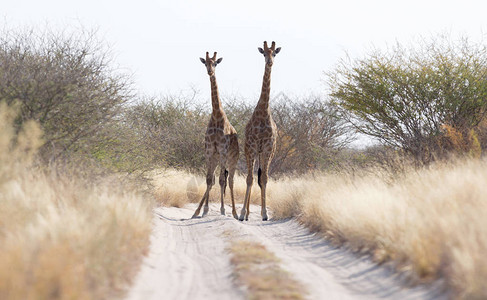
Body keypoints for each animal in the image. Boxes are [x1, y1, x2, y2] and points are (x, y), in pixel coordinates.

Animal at [193, 51, 241, 219]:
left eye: (215, 63)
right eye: (205, 63)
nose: (210, 71)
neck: (216, 115)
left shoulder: (223, 151)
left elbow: (221, 181)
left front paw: (222, 210)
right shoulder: (209, 151)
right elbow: (209, 180)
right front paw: (203, 210)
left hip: (232, 158)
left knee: (229, 180)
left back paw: (235, 213)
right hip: (215, 158)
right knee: (214, 179)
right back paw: (197, 211)